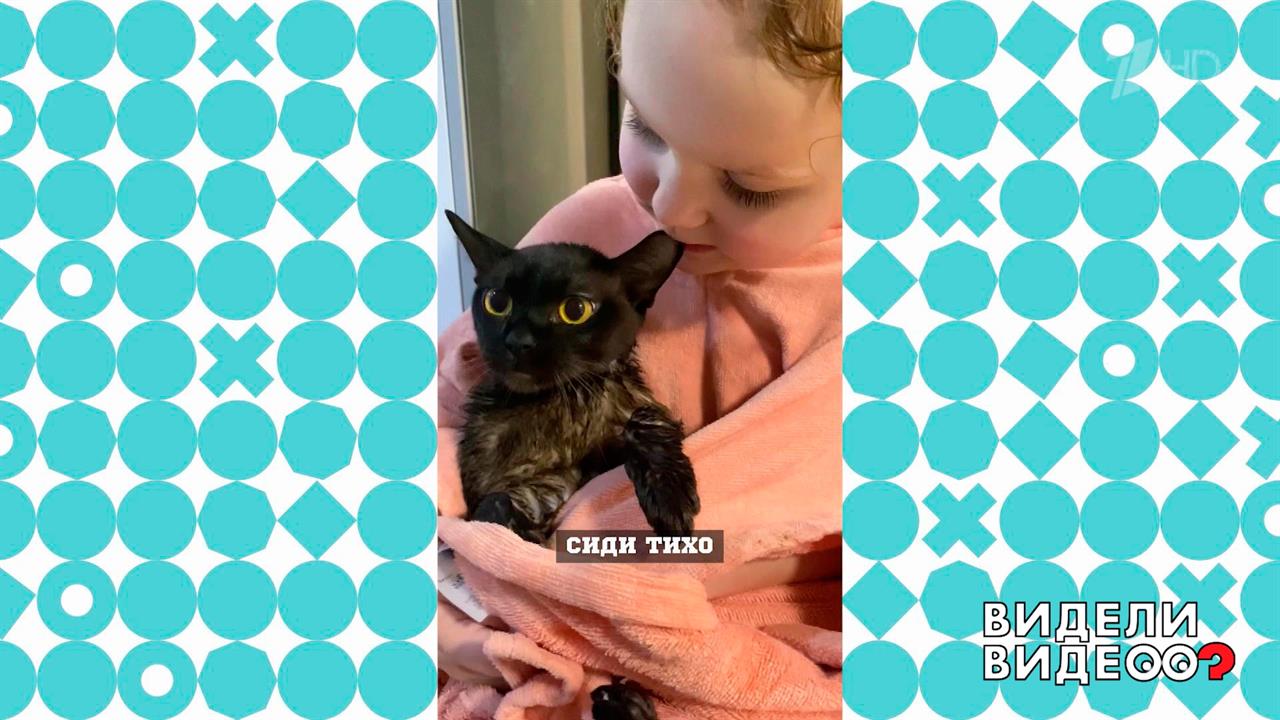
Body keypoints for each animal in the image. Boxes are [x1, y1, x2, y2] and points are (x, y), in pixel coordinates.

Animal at [445, 210, 700, 547]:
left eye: (576, 310)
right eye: (497, 302)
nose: (518, 340)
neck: (564, 404)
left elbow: (645, 418)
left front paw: (670, 497)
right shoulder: (524, 487)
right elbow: (493, 508)